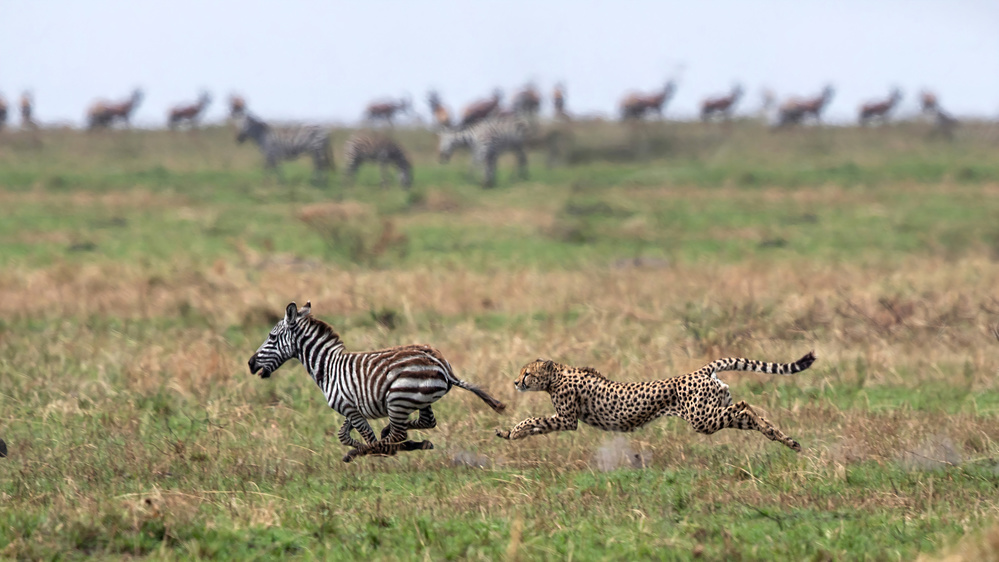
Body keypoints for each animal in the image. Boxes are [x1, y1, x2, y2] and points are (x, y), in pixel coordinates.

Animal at [246, 300, 504, 462]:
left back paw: (390, 445)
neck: (328, 367)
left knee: (398, 434)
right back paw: (401, 438)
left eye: (271, 337)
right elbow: (344, 435)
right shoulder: (351, 408)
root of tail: (443, 365)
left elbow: (367, 438)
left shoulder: (350, 408)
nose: (250, 363)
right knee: (425, 422)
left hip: (398, 398)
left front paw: (364, 451)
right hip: (420, 399)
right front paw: (362, 445)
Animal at [496, 350, 816, 450]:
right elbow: (536, 425)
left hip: (702, 419)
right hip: (714, 407)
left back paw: (778, 435)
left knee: (744, 407)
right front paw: (510, 433)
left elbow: (534, 420)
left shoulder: (566, 419)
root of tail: (699, 370)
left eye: (527, 373)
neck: (557, 375)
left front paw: (513, 431)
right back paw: (783, 438)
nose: (515, 382)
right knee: (744, 412)